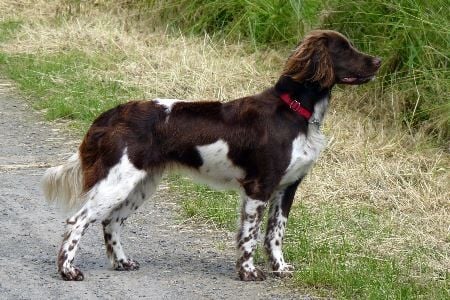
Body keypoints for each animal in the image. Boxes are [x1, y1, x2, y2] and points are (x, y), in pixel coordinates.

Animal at [41, 29, 380, 282]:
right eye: (344, 49)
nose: (377, 61)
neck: (294, 111)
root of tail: (110, 115)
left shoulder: (287, 188)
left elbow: (275, 234)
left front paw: (280, 268)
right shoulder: (260, 187)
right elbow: (250, 236)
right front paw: (248, 272)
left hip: (140, 184)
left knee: (110, 222)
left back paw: (122, 262)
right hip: (118, 182)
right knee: (78, 220)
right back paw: (68, 270)